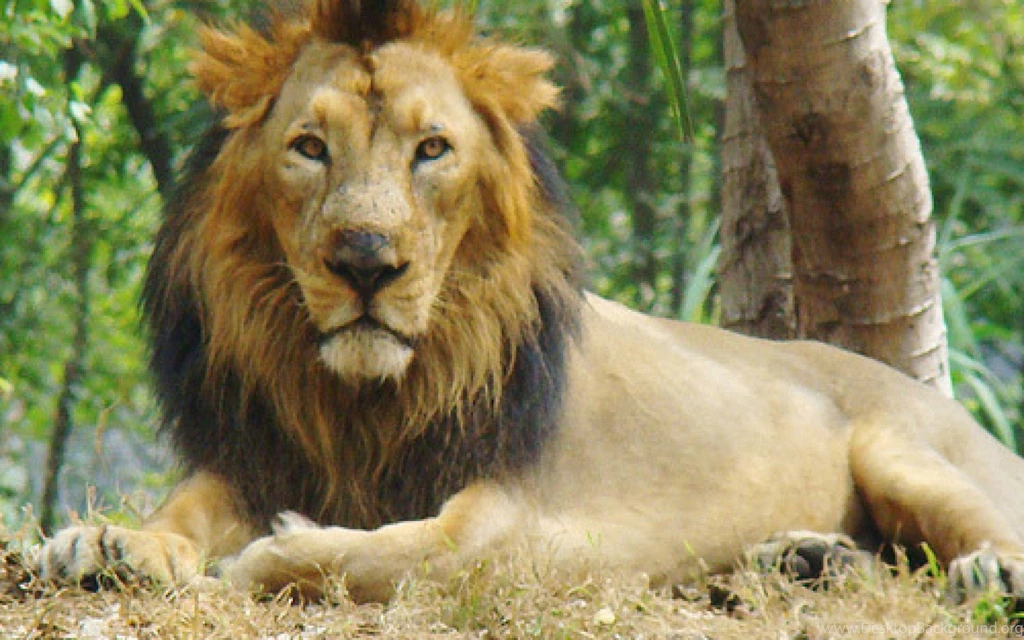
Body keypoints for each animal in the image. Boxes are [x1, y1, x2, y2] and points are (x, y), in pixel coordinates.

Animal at [39, 0, 1024, 604]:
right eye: (309, 148)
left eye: (432, 149)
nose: (365, 262)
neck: (367, 399)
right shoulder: (262, 453)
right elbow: (182, 507)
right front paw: (105, 542)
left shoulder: (544, 527)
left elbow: (410, 550)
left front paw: (265, 555)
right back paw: (810, 557)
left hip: (904, 449)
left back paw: (978, 575)